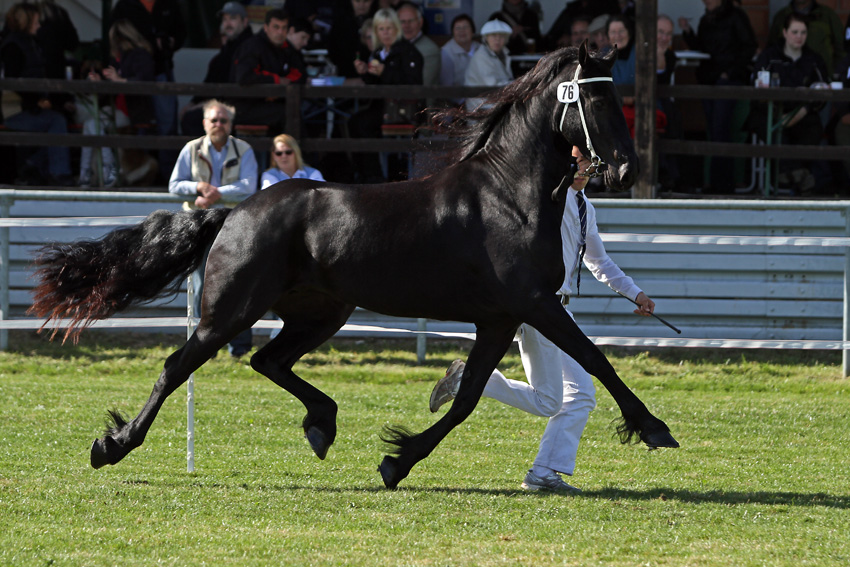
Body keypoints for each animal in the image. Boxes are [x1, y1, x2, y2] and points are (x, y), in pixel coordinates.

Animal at [29, 42, 676, 490]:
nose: (623, 169)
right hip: (231, 311)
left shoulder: (499, 319)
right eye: (595, 98)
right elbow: (596, 360)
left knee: (269, 360)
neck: (508, 196)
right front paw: (653, 428)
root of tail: (235, 212)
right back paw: (112, 446)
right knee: (176, 366)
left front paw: (397, 460)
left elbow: (467, 397)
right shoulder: (535, 305)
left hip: (321, 314)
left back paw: (322, 424)